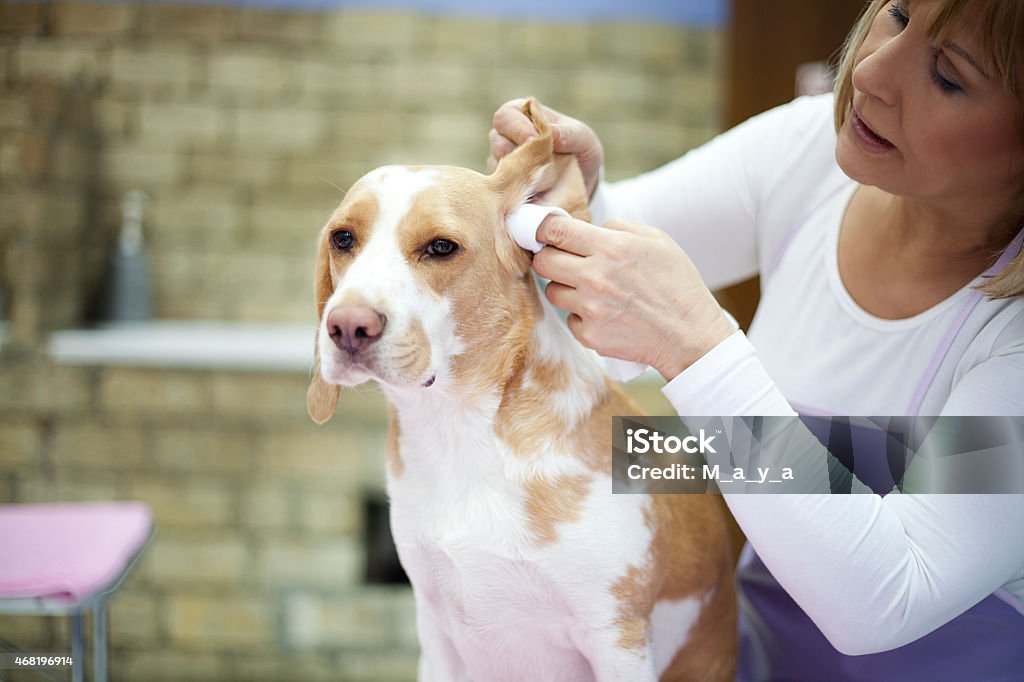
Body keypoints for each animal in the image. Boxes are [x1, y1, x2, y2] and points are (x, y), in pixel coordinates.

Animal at [303, 98, 737, 675]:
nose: (348, 327)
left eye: (441, 247)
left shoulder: (617, 639)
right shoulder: (436, 637)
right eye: (343, 238)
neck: (462, 430)